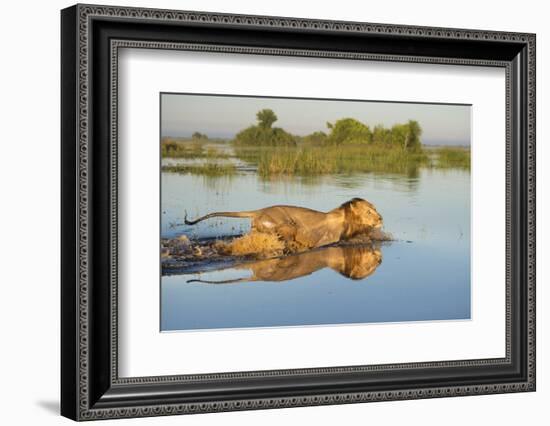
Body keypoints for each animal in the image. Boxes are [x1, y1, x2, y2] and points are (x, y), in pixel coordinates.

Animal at [185, 198, 384, 251]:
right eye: (369, 212)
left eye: (375, 209)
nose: (381, 218)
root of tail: (258, 210)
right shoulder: (326, 241)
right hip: (287, 224)